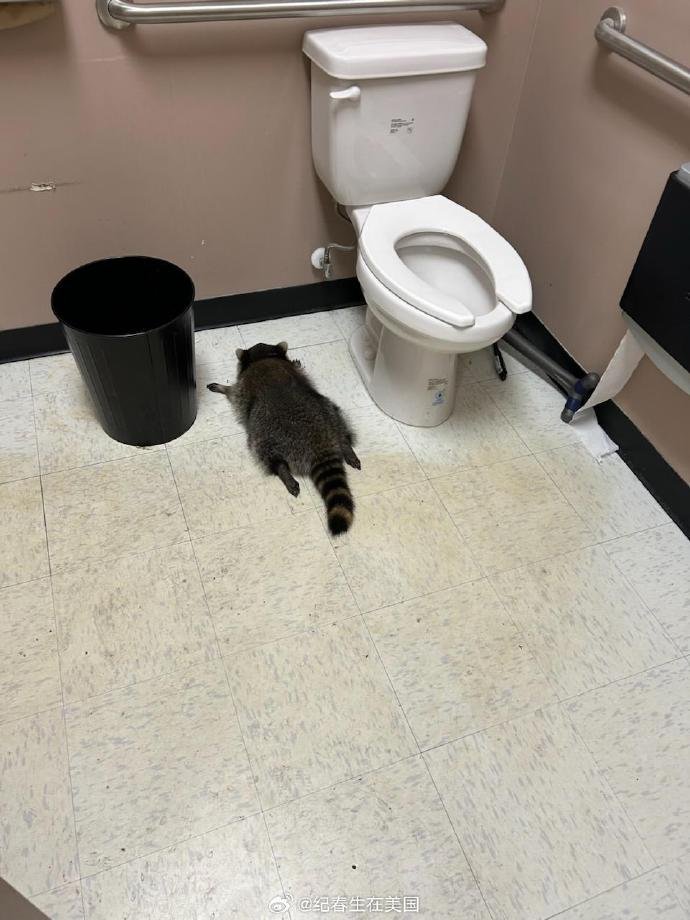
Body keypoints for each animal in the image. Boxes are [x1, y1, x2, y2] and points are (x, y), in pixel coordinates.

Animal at [207, 341, 360, 535]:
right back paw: (346, 446)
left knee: (264, 452)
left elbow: (233, 392)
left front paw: (223, 388)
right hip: (329, 411)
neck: (264, 357)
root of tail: (319, 442)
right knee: (339, 421)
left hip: (265, 432)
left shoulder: (243, 387)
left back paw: (282, 470)